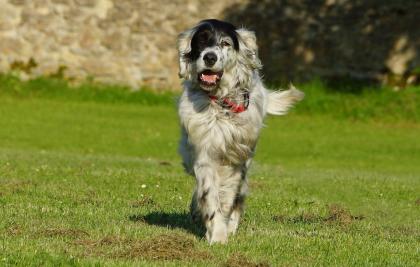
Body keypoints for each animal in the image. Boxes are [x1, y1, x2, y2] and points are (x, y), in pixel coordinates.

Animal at [176, 18, 302, 245]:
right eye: (201, 40)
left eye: (225, 43)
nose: (210, 57)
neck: (221, 105)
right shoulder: (204, 153)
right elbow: (209, 193)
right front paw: (217, 234)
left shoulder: (238, 156)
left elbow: (228, 195)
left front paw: (223, 228)